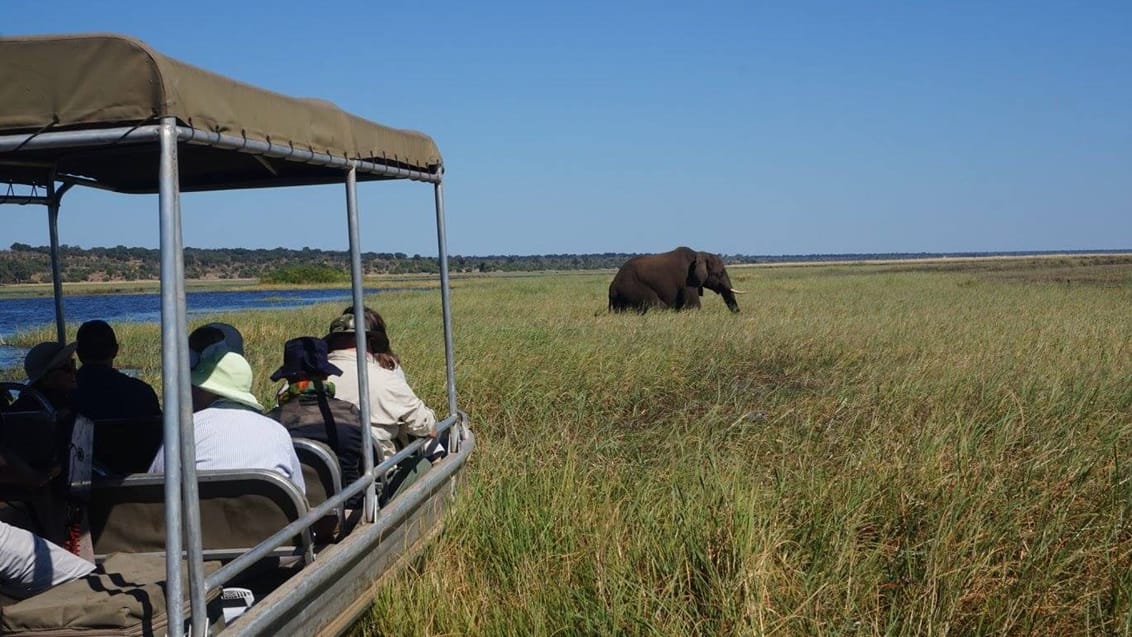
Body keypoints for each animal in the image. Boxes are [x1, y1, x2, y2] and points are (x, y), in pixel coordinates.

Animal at [611, 245, 742, 312]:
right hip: (631, 287)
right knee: (657, 306)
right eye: (719, 273)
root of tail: (612, 287)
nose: (738, 314)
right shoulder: (687, 281)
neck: (698, 254)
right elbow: (693, 306)